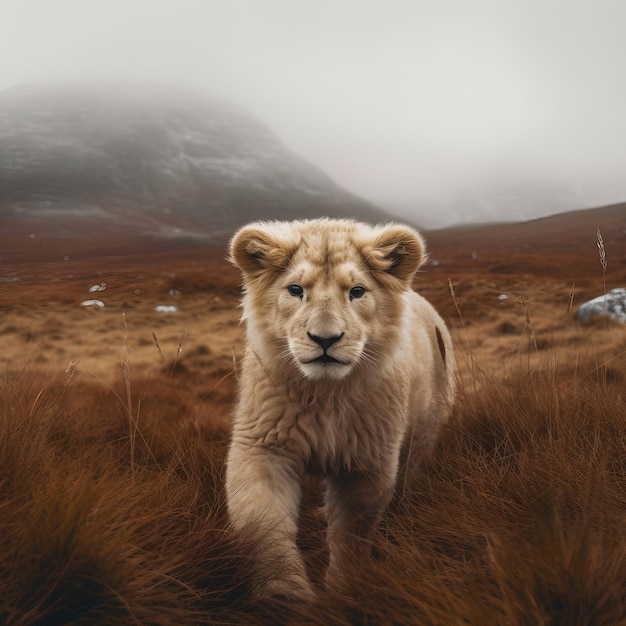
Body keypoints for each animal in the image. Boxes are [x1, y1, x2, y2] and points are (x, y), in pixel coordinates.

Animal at [224, 217, 454, 596]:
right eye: (296, 289)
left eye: (357, 291)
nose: (325, 339)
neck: (325, 395)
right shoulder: (265, 445)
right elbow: (263, 523)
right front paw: (285, 593)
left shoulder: (367, 459)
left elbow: (352, 532)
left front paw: (344, 587)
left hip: (424, 433)